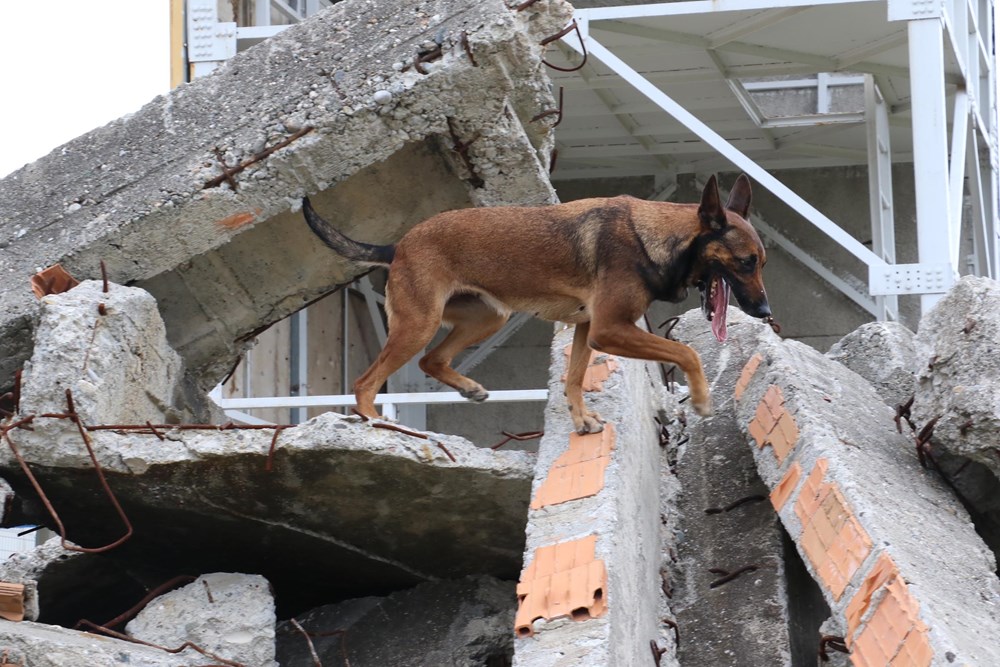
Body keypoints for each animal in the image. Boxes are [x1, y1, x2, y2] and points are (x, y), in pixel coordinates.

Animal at [304, 174, 772, 434]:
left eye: (761, 262)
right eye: (746, 262)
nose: (766, 313)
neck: (655, 235)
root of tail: (398, 246)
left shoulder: (588, 329)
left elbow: (574, 378)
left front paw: (582, 421)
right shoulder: (610, 330)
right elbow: (687, 351)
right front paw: (701, 399)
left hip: (487, 318)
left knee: (431, 360)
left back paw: (468, 387)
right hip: (418, 324)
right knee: (366, 382)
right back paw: (375, 422)